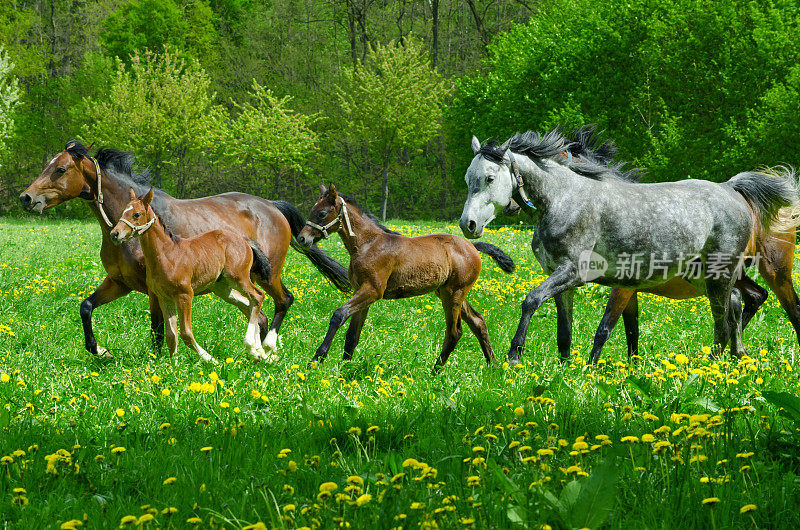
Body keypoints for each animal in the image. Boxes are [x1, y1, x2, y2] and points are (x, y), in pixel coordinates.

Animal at [109, 188, 274, 366]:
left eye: (137, 214)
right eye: (123, 211)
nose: (114, 234)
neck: (166, 254)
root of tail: (243, 239)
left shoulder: (185, 295)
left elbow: (186, 333)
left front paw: (212, 360)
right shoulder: (164, 298)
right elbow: (171, 335)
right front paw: (173, 366)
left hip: (238, 277)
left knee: (258, 296)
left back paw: (252, 346)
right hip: (222, 287)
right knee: (248, 303)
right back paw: (258, 352)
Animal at [296, 184, 516, 370]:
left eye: (322, 213)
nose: (302, 238)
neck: (369, 244)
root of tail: (472, 246)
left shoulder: (372, 291)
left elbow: (339, 315)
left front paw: (317, 358)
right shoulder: (362, 292)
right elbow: (352, 336)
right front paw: (344, 370)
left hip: (453, 294)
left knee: (454, 332)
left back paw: (435, 372)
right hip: (448, 292)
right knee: (478, 322)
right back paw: (493, 365)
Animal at [460, 127, 796, 364]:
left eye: (489, 178)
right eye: (467, 179)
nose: (468, 225)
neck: (564, 199)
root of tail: (730, 188)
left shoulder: (574, 273)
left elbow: (532, 301)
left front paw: (514, 357)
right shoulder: (562, 279)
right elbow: (565, 331)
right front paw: (565, 368)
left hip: (725, 275)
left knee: (726, 322)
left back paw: (713, 366)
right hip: (699, 276)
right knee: (735, 308)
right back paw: (736, 357)